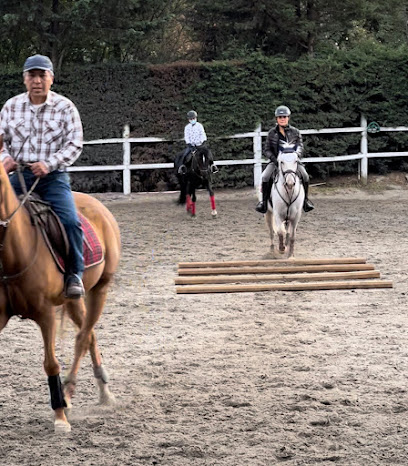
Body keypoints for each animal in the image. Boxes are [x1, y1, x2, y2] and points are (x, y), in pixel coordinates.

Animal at [0, 143, 120, 434]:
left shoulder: (45, 314)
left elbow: (50, 363)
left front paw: (59, 416)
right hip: (74, 300)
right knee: (90, 335)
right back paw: (99, 391)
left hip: (100, 289)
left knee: (82, 338)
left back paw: (72, 392)